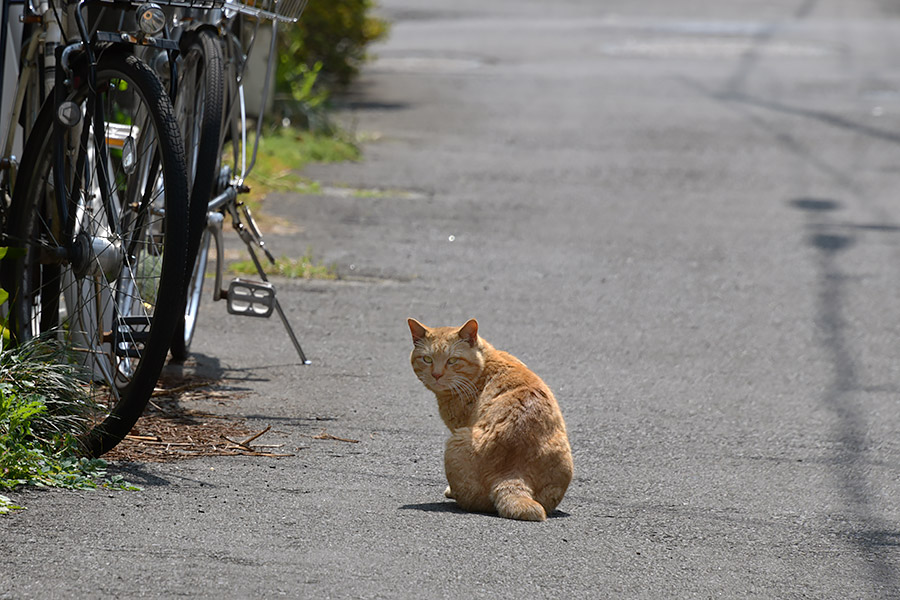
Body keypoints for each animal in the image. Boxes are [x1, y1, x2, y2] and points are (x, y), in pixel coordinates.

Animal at [410, 318, 572, 520]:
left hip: (456, 440)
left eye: (452, 360)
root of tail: (512, 475)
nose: (436, 375)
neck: (485, 364)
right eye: (427, 359)